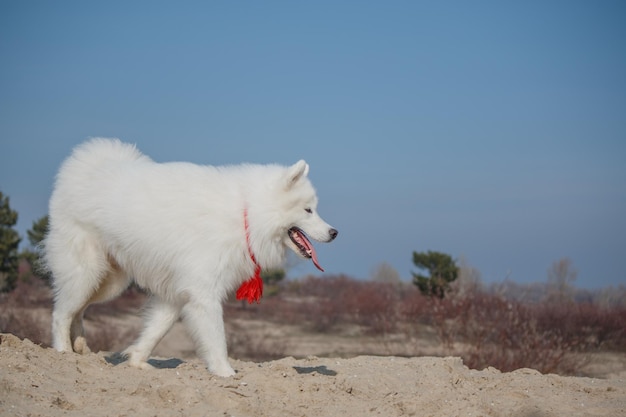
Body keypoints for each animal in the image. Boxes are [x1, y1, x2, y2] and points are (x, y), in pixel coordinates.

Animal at [44, 138, 336, 376]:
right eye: (308, 210)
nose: (334, 233)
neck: (247, 214)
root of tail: (87, 164)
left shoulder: (177, 294)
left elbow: (154, 331)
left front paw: (136, 361)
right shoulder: (204, 295)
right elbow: (217, 340)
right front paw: (225, 373)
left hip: (108, 282)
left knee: (78, 310)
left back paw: (81, 346)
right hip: (87, 272)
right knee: (61, 313)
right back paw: (63, 352)